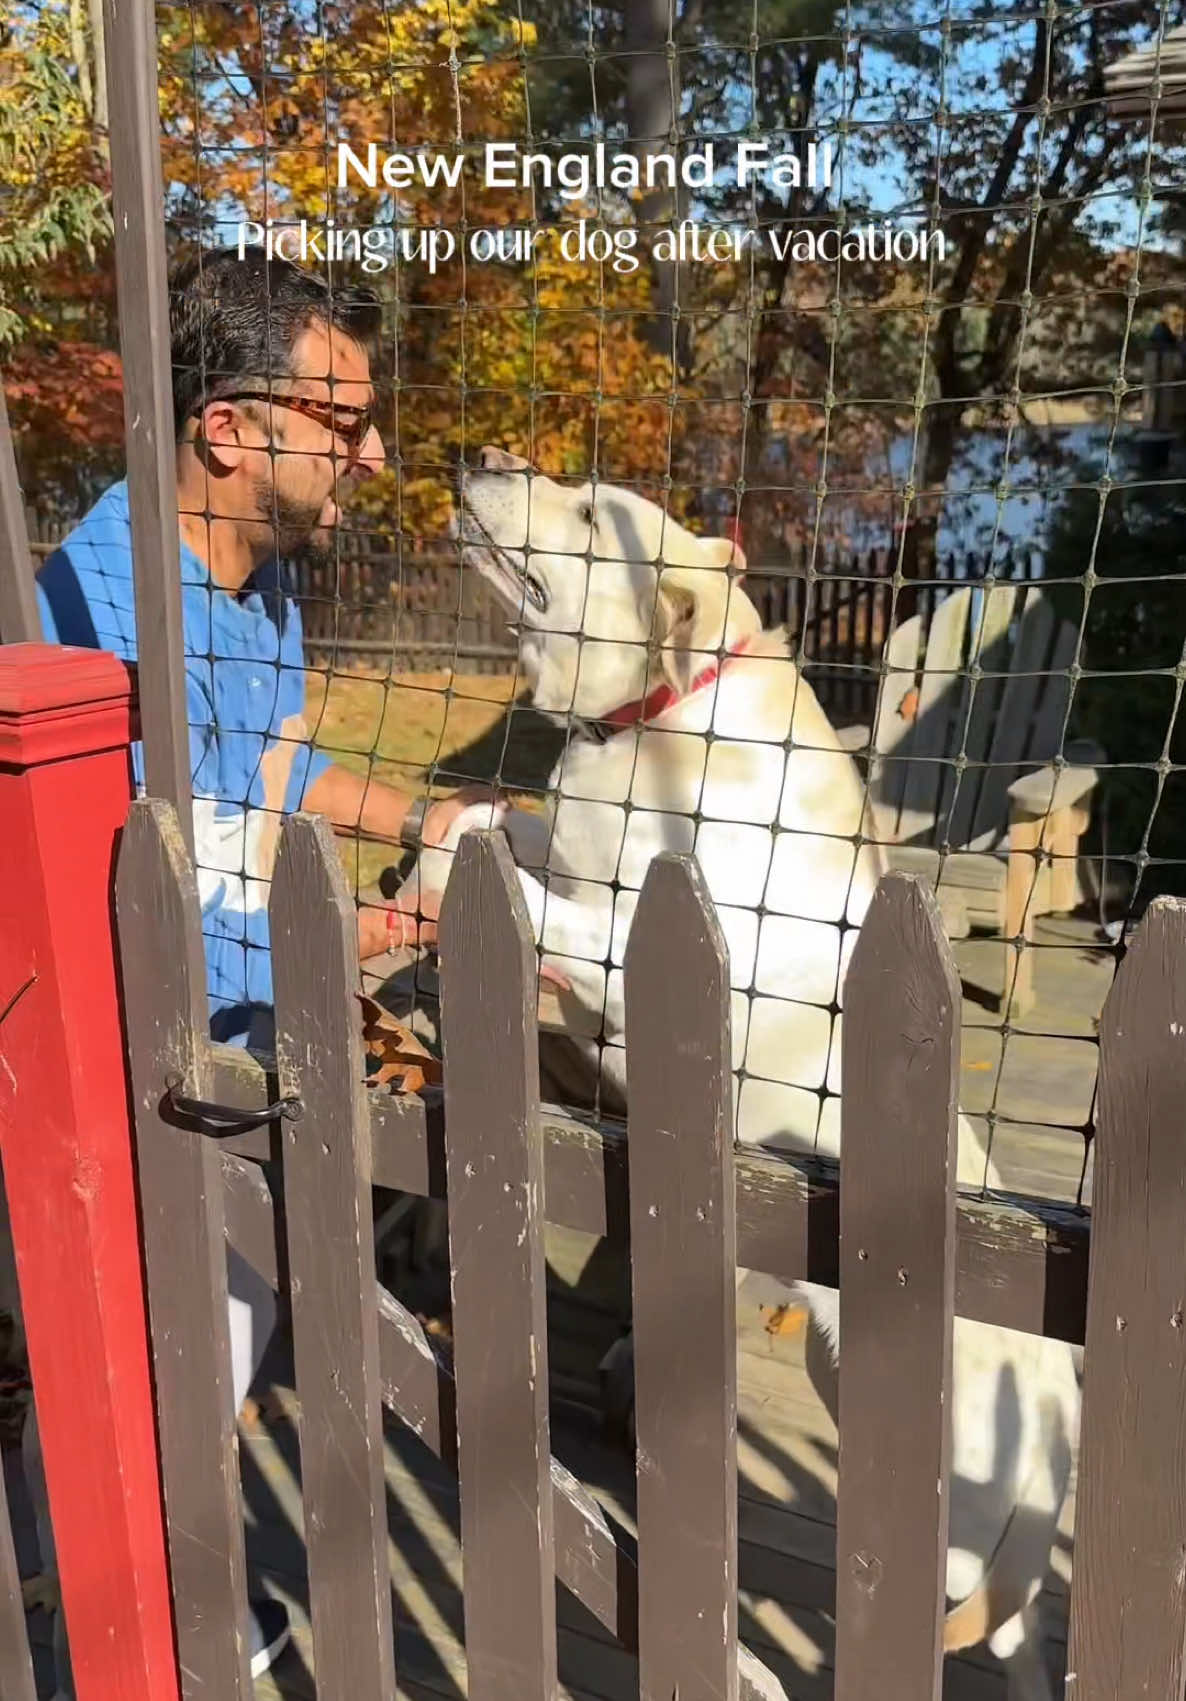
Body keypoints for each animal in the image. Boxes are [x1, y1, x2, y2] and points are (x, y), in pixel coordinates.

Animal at [406, 445, 1082, 1694]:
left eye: (590, 511)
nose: (486, 457)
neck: (651, 717)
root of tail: (1060, 1390)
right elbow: (509, 832)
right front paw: (441, 837)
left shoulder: (642, 949)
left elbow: (550, 902)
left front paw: (459, 872)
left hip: (965, 1523)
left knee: (1003, 1628)